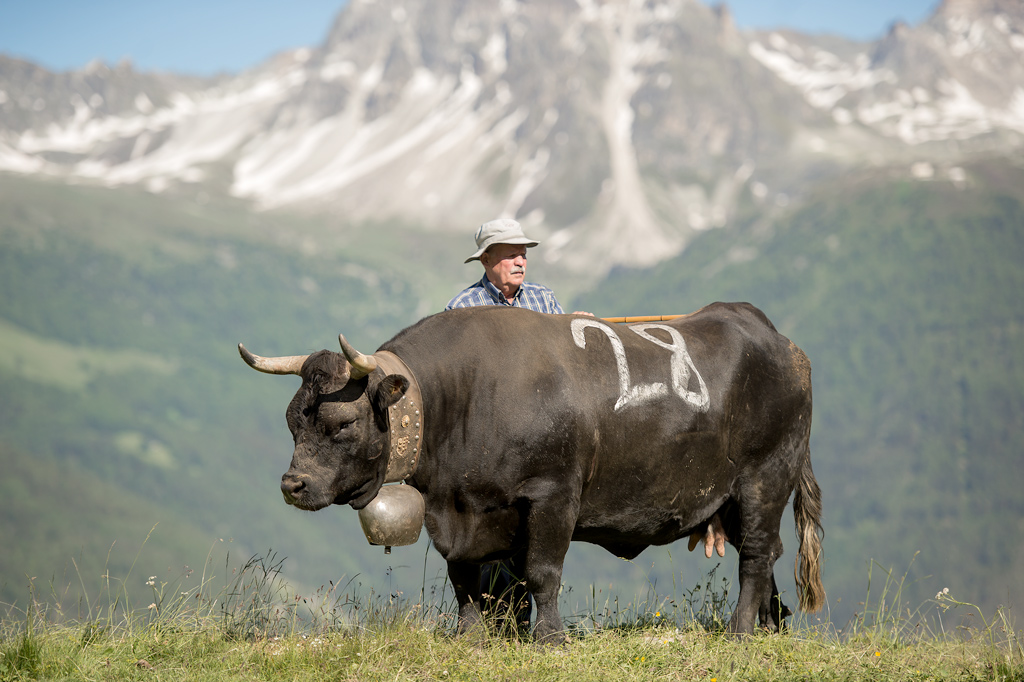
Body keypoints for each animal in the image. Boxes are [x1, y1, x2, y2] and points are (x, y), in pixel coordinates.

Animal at [238, 302, 824, 641]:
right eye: (291, 420)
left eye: (341, 423)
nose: (293, 485)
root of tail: (778, 340)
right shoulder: (457, 515)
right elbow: (464, 579)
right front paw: (470, 636)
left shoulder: (553, 495)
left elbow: (542, 572)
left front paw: (550, 638)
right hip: (739, 496)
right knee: (767, 554)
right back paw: (772, 627)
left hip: (764, 479)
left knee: (755, 556)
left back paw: (742, 631)